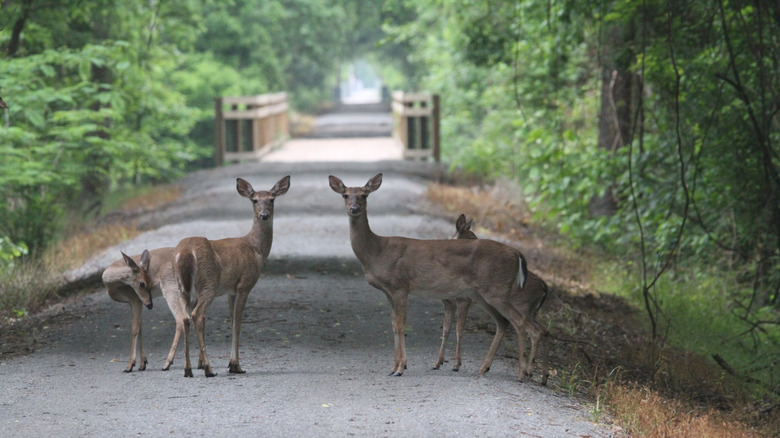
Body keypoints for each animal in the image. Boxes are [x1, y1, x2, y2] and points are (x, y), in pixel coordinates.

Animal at [434, 213, 551, 384]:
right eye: (470, 237)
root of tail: (544, 287)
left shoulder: (464, 300)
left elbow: (459, 330)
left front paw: (456, 365)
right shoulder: (448, 302)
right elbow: (446, 329)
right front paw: (438, 363)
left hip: (517, 305)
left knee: (532, 329)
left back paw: (526, 372)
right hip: (527, 310)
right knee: (541, 329)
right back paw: (540, 376)